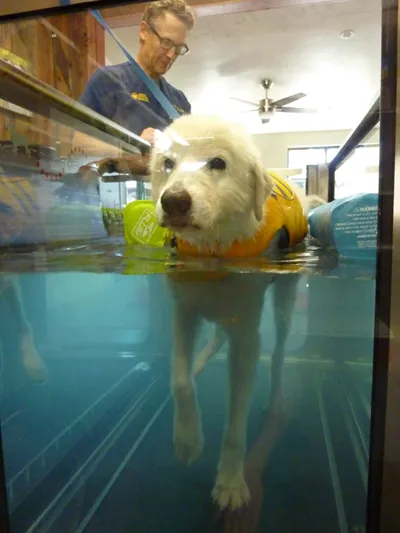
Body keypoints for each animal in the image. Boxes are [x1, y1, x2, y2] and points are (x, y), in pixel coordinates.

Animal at [149, 114, 322, 510]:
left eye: (218, 163)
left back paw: (275, 401)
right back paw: (201, 361)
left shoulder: (246, 339)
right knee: (213, 338)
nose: (173, 201)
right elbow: (180, 381)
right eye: (168, 163)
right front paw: (187, 440)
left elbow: (236, 426)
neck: (216, 249)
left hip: (284, 303)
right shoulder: (183, 312)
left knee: (277, 355)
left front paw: (229, 482)